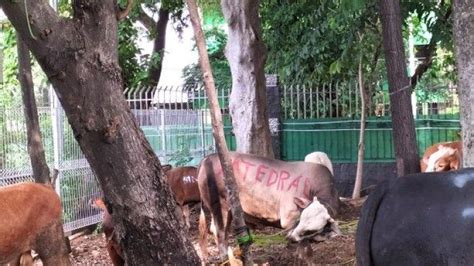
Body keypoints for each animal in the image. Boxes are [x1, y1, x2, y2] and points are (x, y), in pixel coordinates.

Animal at [197, 153, 340, 258]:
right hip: (220, 206)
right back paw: (224, 256)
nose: (291, 237)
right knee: (220, 232)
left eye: (310, 229)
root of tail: (208, 157)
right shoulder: (289, 218)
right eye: (301, 219)